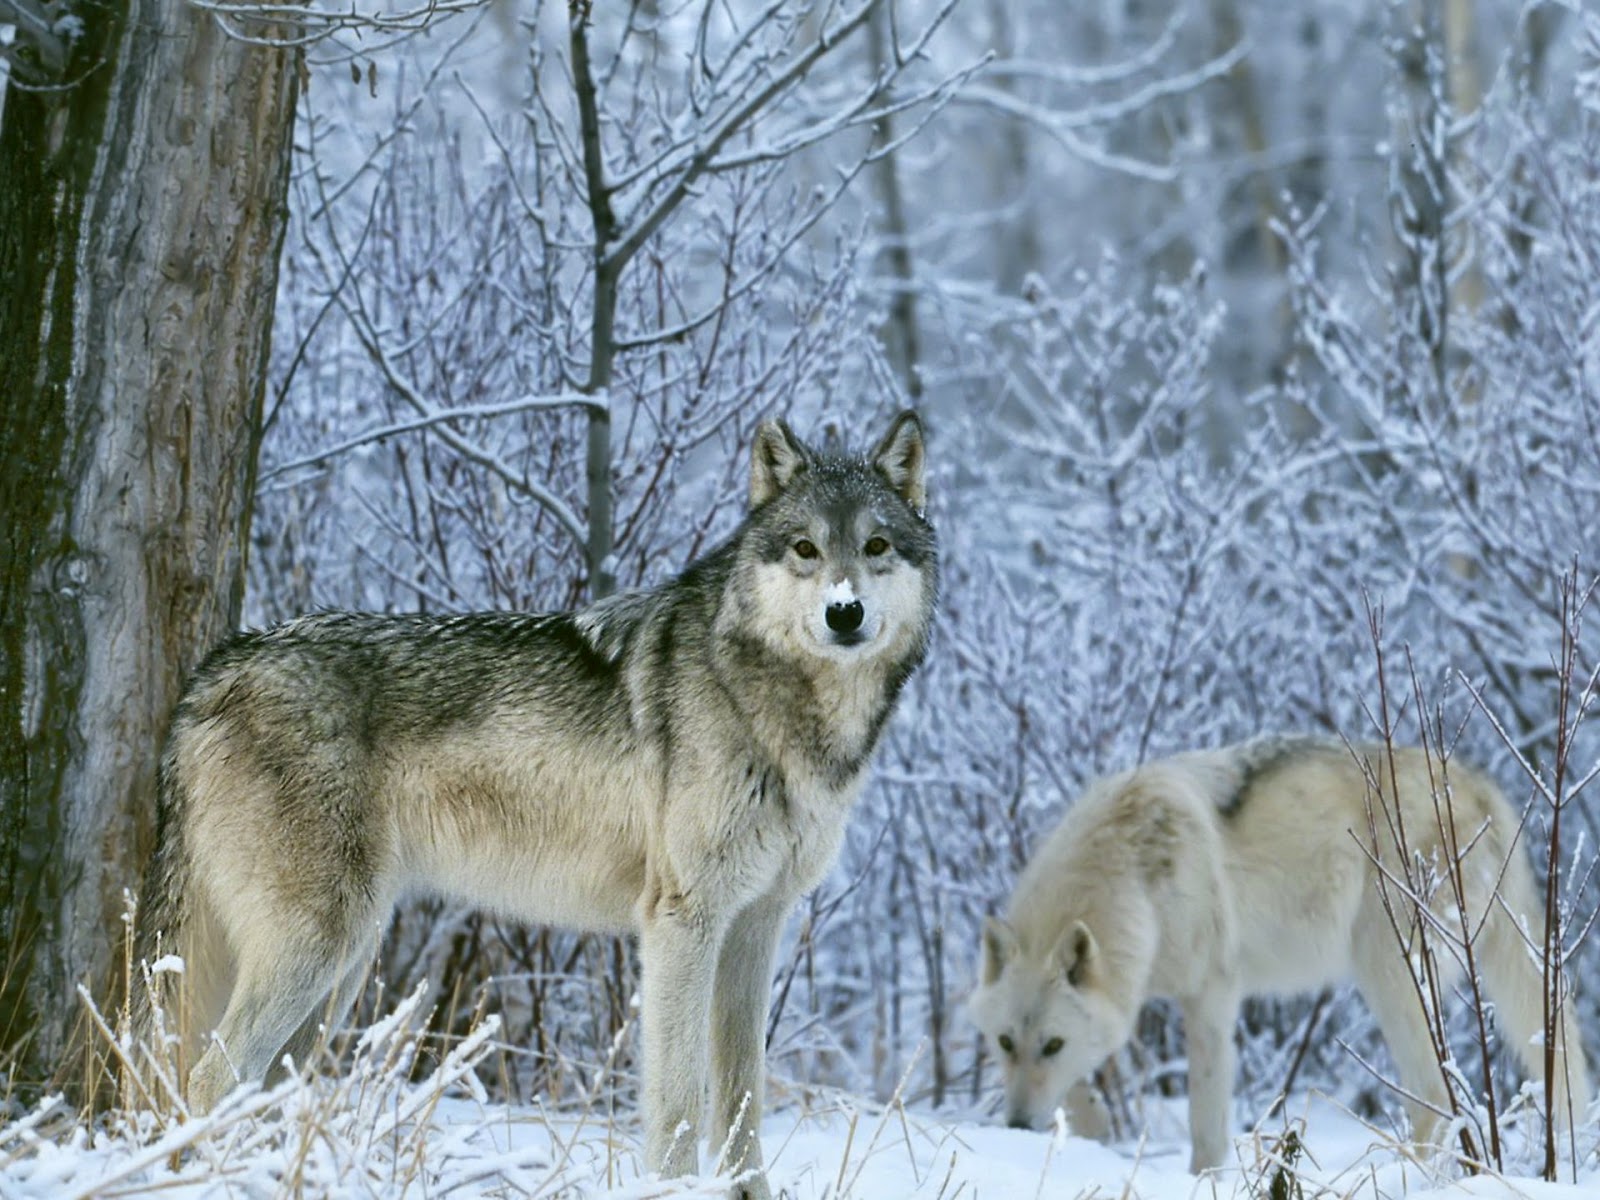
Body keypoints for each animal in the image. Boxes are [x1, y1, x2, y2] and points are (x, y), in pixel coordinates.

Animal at [133, 411, 936, 1198]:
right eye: (805, 548)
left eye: (875, 546)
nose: (844, 612)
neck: (778, 710)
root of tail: (213, 670)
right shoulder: (682, 922)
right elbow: (679, 1101)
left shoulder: (755, 928)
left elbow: (742, 1103)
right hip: (319, 948)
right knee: (207, 1078)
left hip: (341, 971)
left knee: (259, 1092)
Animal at [969, 737, 1592, 1172]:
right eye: (1004, 1043)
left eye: (1052, 1044)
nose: (1016, 1126)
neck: (1133, 877)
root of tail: (1480, 785)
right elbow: (1083, 1087)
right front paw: (1092, 1129)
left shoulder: (1211, 996)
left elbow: (1205, 1123)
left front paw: (1202, 1180)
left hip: (1389, 976)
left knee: (1436, 1099)